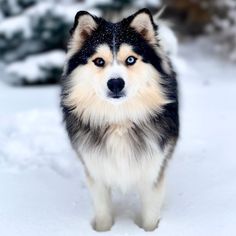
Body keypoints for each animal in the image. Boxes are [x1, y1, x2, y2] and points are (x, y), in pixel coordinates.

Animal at [60, 8, 179, 231]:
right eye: (99, 61)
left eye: (130, 60)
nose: (115, 83)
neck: (119, 120)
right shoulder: (96, 171)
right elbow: (103, 212)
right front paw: (103, 230)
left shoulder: (152, 172)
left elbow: (150, 214)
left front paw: (149, 230)